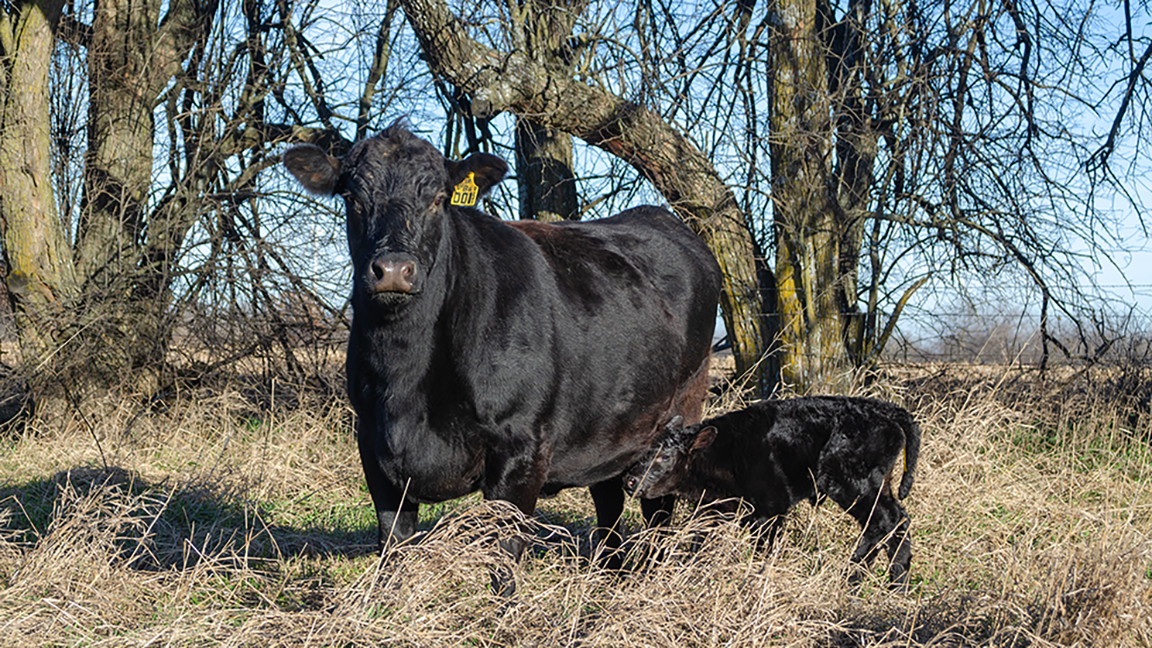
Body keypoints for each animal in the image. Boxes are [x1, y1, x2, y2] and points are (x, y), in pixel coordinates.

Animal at [283, 122, 721, 581]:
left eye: (438, 199)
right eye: (352, 198)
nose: (393, 271)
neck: (406, 378)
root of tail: (658, 215)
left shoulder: (521, 451)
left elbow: (504, 556)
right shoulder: (374, 446)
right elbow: (393, 548)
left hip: (682, 407)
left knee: (658, 505)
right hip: (612, 422)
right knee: (608, 497)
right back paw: (610, 573)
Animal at [622, 396, 920, 587]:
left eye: (665, 457)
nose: (630, 480)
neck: (724, 455)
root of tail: (885, 408)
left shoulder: (770, 509)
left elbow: (763, 551)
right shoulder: (713, 510)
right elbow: (700, 544)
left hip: (851, 482)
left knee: (883, 520)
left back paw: (855, 577)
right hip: (876, 485)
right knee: (896, 520)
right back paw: (895, 582)